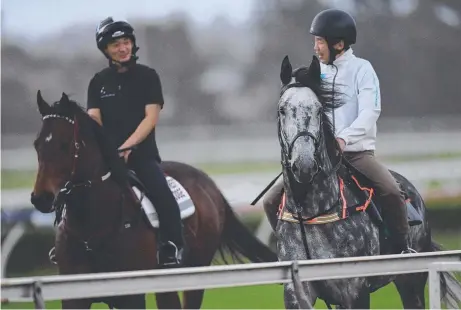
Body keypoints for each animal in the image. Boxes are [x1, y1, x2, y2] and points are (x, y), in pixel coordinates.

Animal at [31, 91, 276, 308]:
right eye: (37, 144)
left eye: (65, 144)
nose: (41, 198)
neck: (91, 230)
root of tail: (209, 183)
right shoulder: (74, 295)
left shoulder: (130, 296)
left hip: (195, 270)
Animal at [268, 54, 460, 308]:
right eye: (282, 110)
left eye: (319, 110)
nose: (305, 164)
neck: (312, 213)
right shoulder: (297, 292)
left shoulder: (355, 290)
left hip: (412, 283)